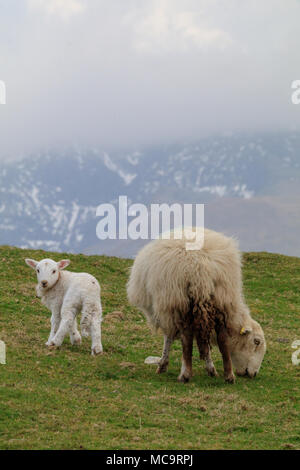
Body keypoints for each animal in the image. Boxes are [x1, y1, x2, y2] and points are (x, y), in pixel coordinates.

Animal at [126, 229, 264, 384]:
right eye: (256, 342)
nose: (254, 374)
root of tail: (199, 266)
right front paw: (210, 368)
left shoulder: (166, 308)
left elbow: (169, 337)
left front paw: (163, 364)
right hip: (221, 296)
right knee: (221, 337)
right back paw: (228, 375)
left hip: (178, 299)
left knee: (186, 337)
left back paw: (185, 374)